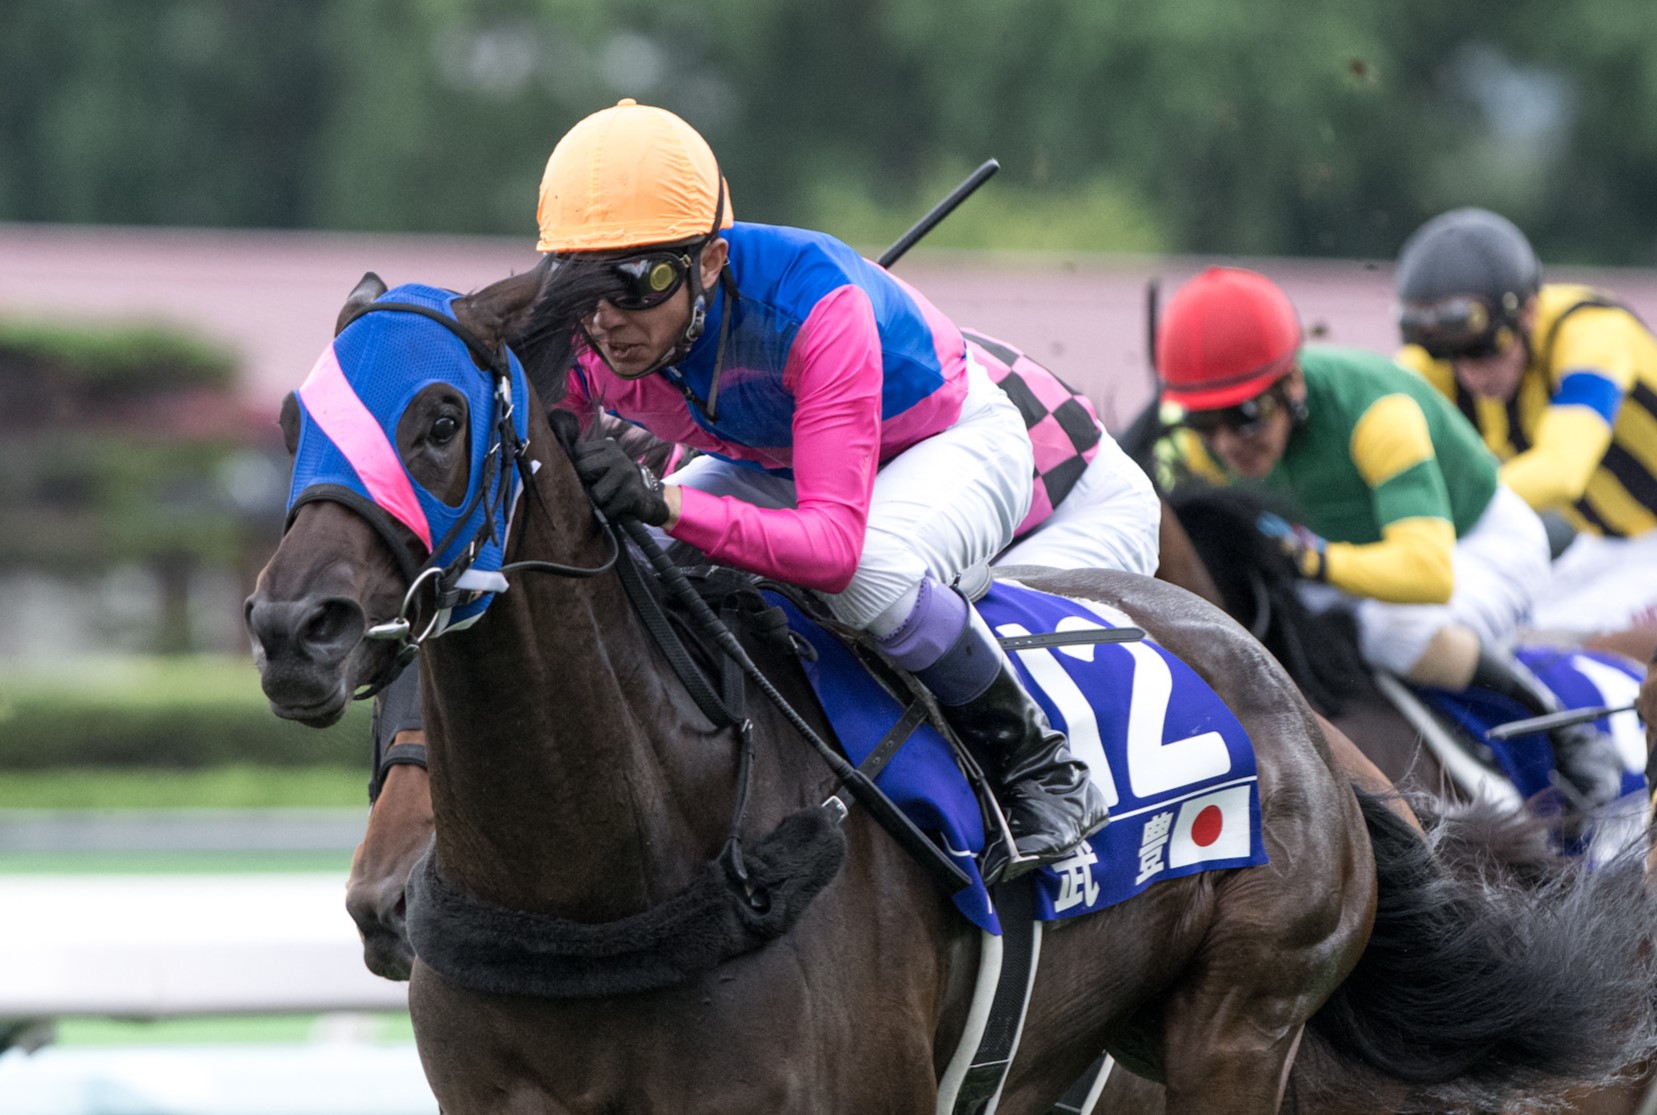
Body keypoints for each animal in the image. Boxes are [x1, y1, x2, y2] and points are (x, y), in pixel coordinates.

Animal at [248, 263, 1657, 1114]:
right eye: (294, 422)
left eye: (438, 419)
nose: (291, 626)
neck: (612, 866)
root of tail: (1300, 723)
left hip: (1241, 1023)